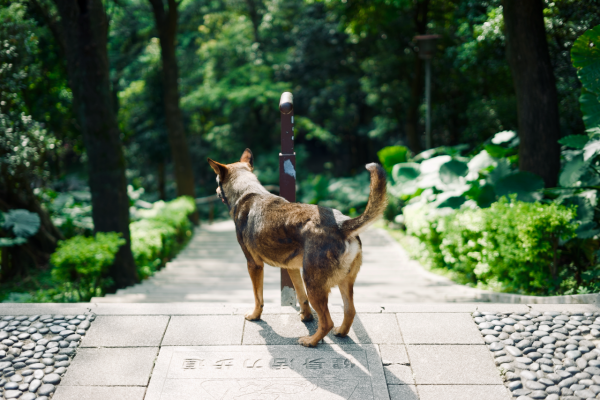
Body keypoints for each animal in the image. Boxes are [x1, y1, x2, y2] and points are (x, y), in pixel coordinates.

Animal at [206, 150, 386, 346]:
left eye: (216, 180)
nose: (215, 191)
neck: (248, 192)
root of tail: (342, 224)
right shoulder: (291, 268)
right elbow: (301, 296)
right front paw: (306, 317)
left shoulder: (254, 265)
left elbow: (258, 297)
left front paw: (255, 315)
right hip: (343, 281)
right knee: (350, 310)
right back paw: (340, 332)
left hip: (314, 283)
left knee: (327, 321)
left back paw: (311, 341)